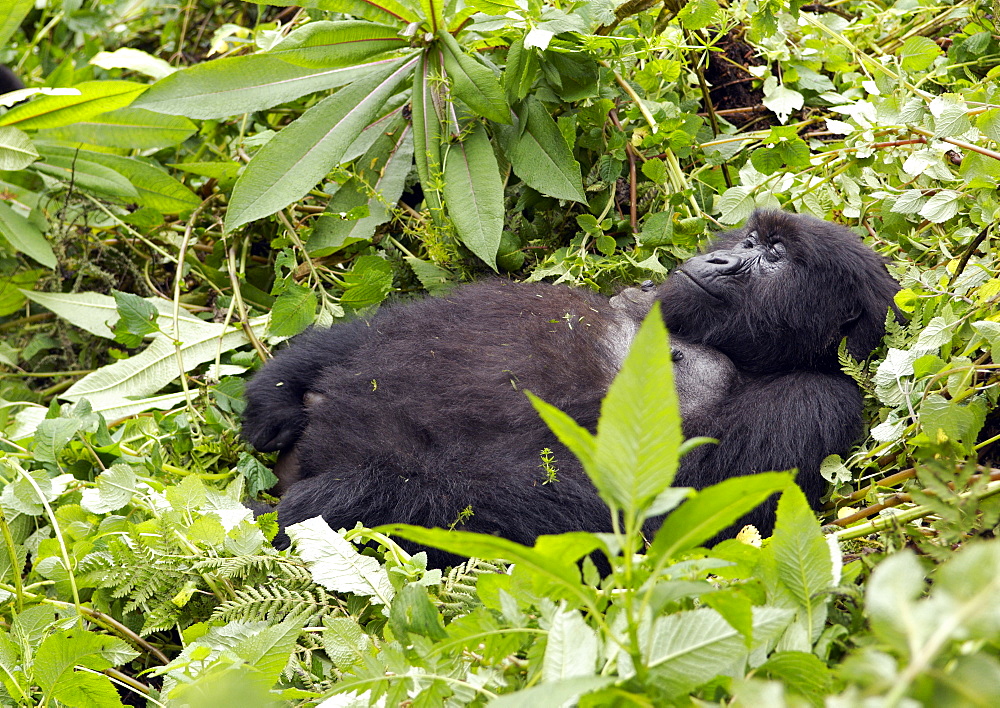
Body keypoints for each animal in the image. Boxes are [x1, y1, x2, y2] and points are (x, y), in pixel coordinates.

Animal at [242, 210, 900, 564]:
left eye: (776, 256)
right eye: (751, 240)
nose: (720, 260)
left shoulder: (819, 405)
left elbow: (639, 519)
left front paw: (341, 500)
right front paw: (279, 387)